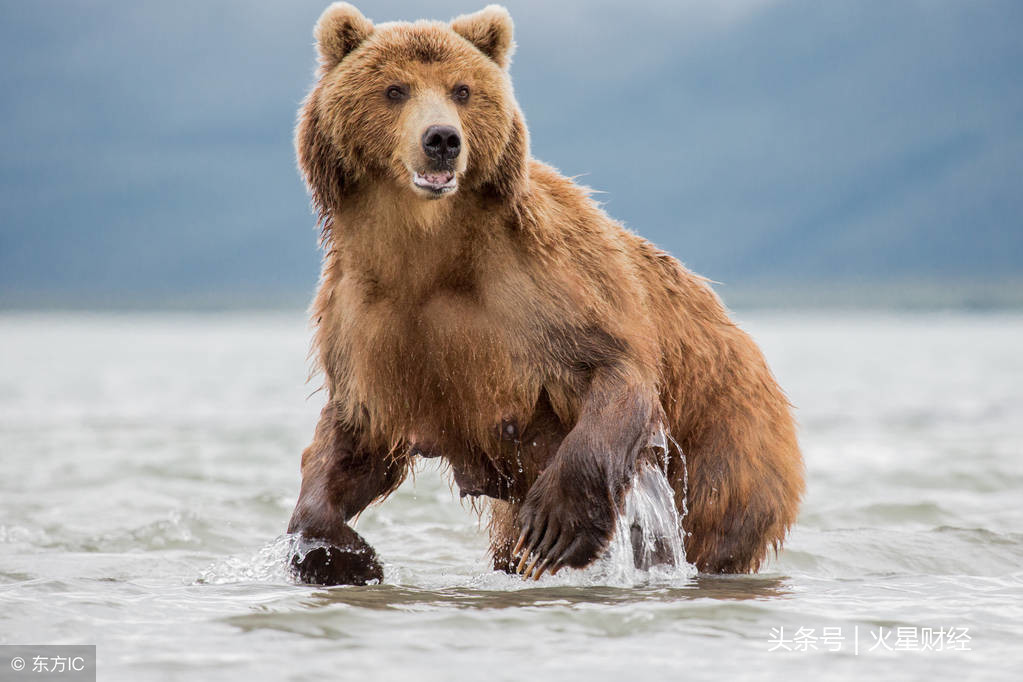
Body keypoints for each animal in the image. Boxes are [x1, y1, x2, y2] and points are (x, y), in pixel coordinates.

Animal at [284, 2, 802, 584]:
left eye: (462, 90)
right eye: (395, 89)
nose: (442, 139)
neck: (428, 251)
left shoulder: (544, 285)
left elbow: (615, 370)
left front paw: (556, 526)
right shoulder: (367, 322)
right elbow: (353, 440)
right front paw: (342, 556)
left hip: (728, 439)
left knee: (710, 522)